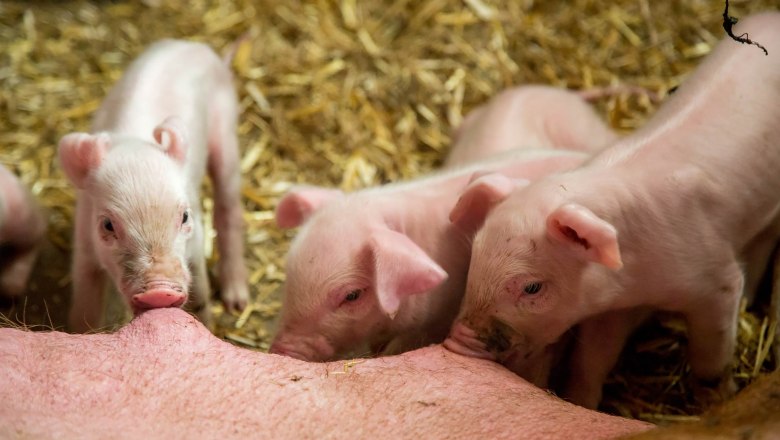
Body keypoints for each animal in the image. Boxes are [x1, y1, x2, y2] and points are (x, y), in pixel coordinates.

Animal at [59, 39, 248, 333]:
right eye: (107, 224)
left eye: (184, 217)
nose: (160, 290)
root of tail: (199, 47)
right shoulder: (84, 246)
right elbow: (85, 308)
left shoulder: (196, 241)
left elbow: (201, 294)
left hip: (226, 131)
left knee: (228, 206)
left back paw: (237, 303)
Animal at [443, 12, 780, 409]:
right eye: (474, 257)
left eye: (532, 287)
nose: (453, 342)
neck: (639, 277)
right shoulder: (611, 306)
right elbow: (593, 357)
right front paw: (578, 402)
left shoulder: (716, 281)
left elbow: (711, 354)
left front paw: (716, 402)